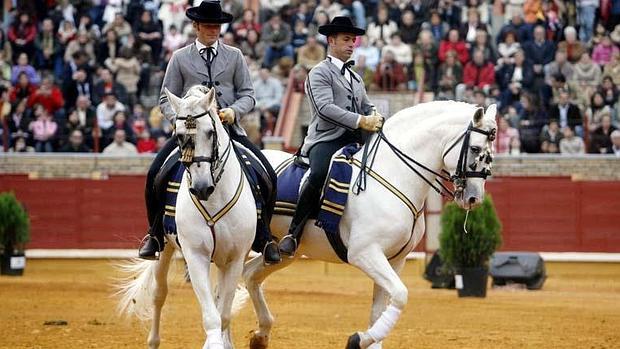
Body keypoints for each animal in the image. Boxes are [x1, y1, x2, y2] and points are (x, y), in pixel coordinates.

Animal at [117, 86, 256, 348]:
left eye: (211, 132)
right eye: (180, 135)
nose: (201, 188)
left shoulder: (235, 258)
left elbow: (223, 312)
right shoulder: (196, 255)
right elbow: (211, 316)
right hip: (164, 248)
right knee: (159, 294)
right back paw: (153, 341)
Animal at [242, 99, 498, 346]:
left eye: (491, 153)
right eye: (475, 149)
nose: (474, 198)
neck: (394, 173)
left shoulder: (395, 260)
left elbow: (380, 309)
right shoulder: (364, 253)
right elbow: (401, 295)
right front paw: (358, 339)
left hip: (280, 253)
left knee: (249, 275)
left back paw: (260, 335)